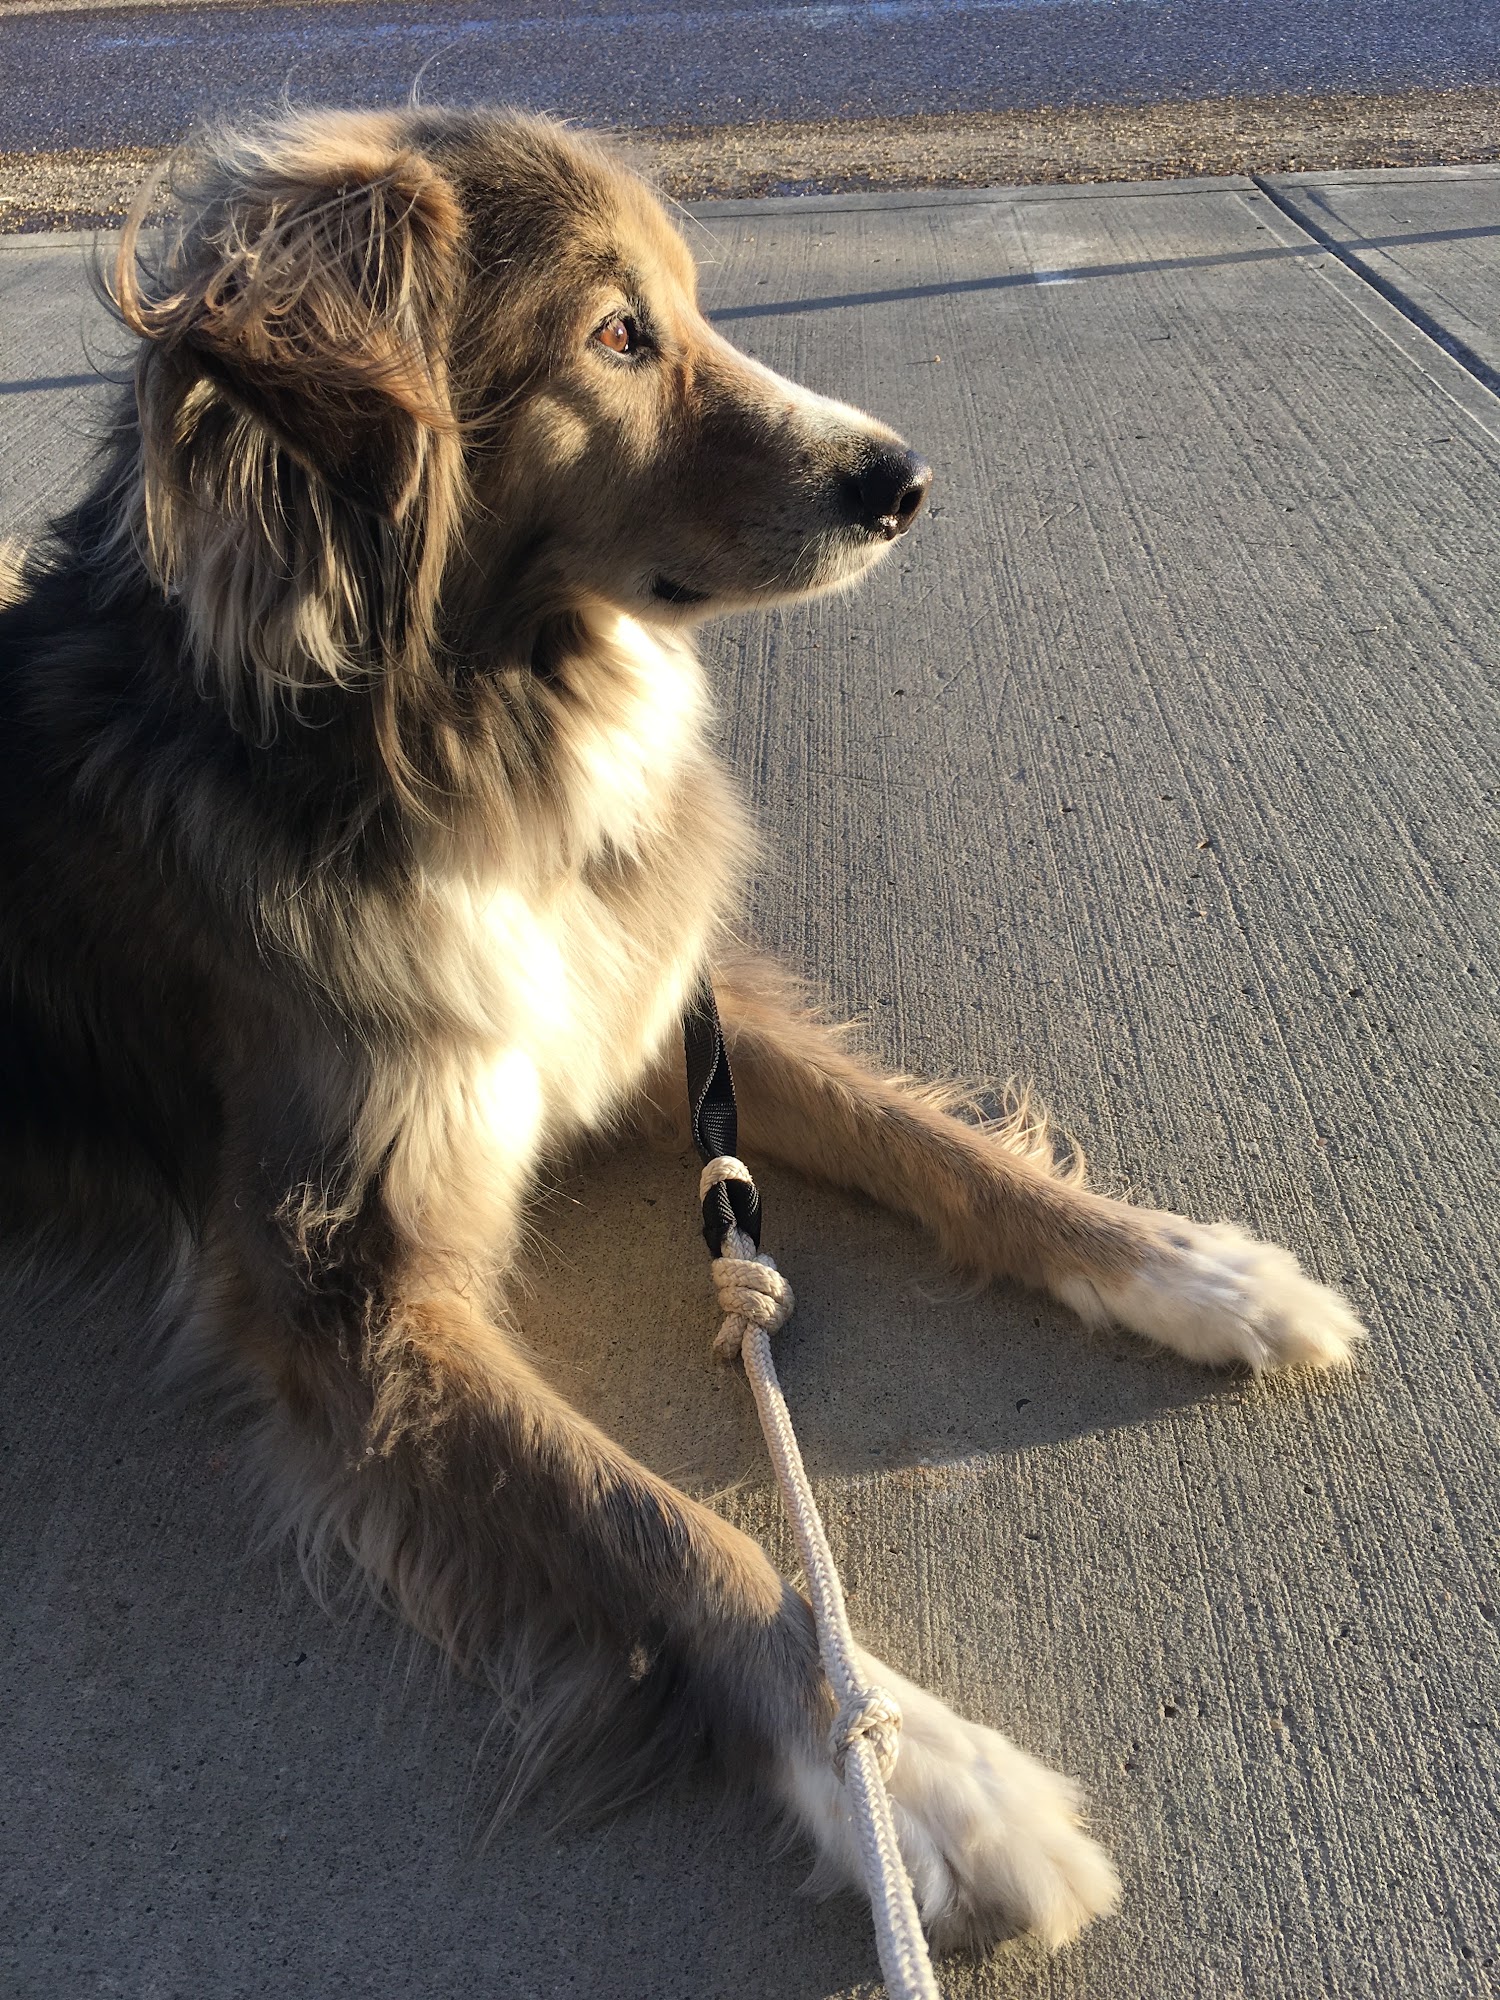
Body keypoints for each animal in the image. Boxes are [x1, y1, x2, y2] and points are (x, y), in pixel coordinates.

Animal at [0, 109, 1360, 1952]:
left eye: (692, 306)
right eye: (616, 335)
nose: (902, 480)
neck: (462, 737)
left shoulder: (649, 1013)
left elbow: (929, 1139)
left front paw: (1188, 1267)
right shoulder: (347, 1286)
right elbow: (655, 1529)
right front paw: (911, 1769)